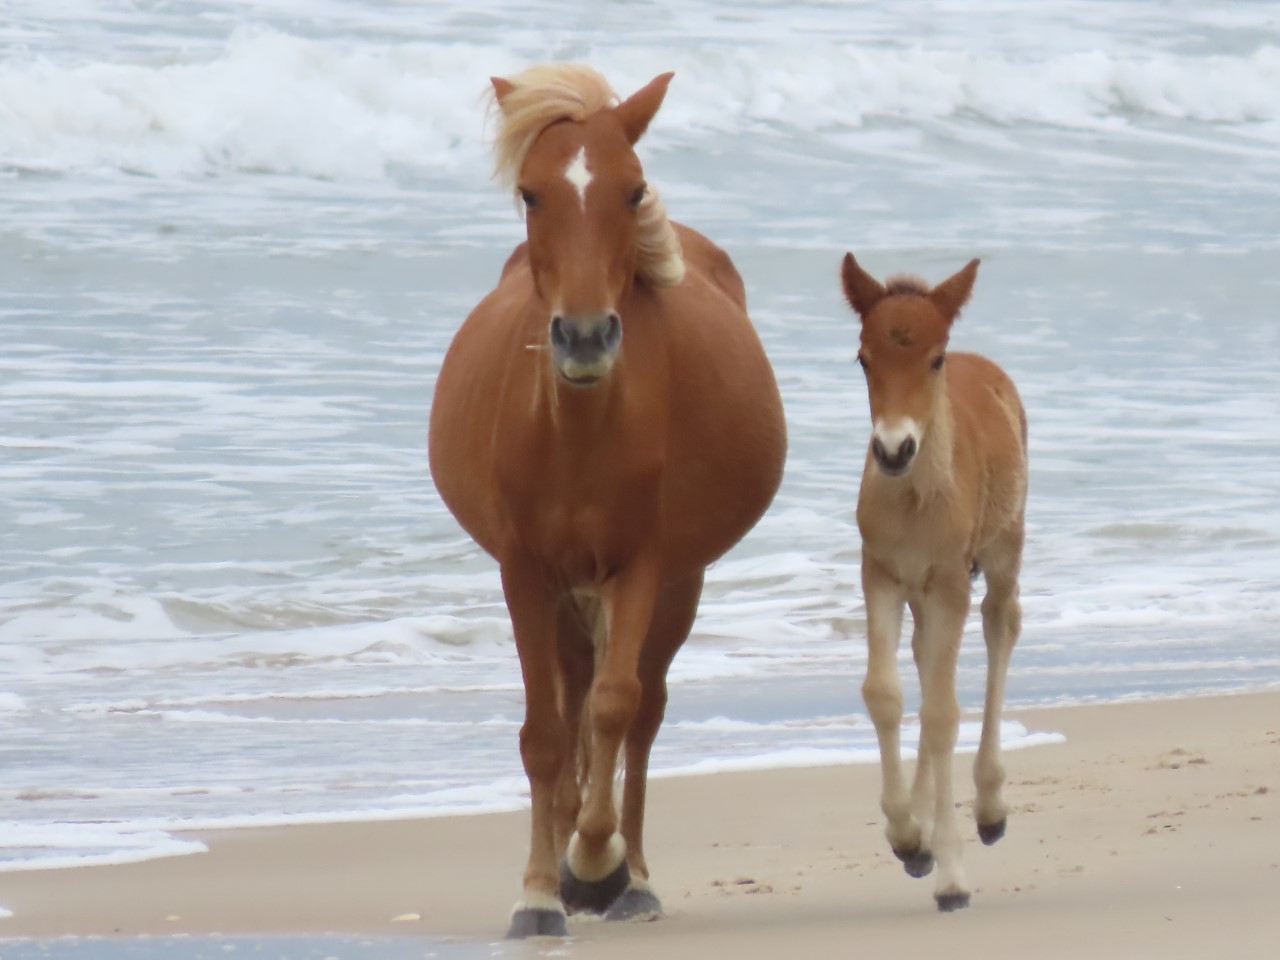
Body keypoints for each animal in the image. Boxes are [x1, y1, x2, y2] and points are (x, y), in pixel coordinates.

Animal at [839, 252, 1029, 911]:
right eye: (863, 358)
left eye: (935, 359)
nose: (894, 449)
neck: (916, 500)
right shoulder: (881, 572)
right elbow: (886, 693)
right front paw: (907, 836)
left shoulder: (949, 579)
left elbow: (943, 713)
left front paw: (950, 873)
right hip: (922, 591)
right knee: (924, 658)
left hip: (1002, 548)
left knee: (1002, 625)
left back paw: (991, 806)